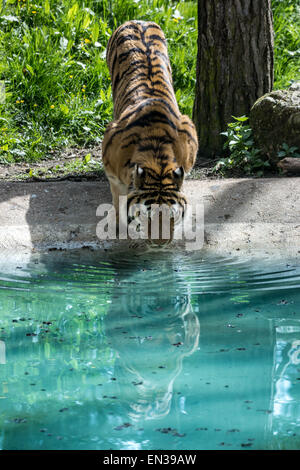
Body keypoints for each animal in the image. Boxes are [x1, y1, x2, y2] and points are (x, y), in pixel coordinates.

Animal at [102, 20, 198, 244]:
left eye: (173, 215)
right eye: (147, 215)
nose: (160, 244)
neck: (158, 159)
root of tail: (138, 21)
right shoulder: (111, 171)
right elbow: (118, 199)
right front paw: (120, 227)